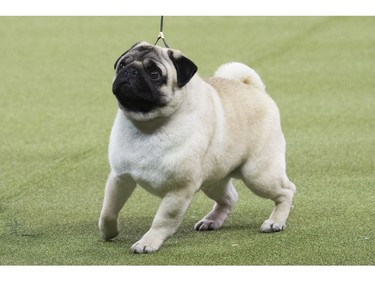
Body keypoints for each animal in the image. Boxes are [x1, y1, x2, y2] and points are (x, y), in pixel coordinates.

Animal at [99, 42, 296, 254]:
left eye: (154, 73)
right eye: (122, 64)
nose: (131, 71)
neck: (148, 126)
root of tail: (253, 89)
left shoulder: (178, 191)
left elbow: (162, 220)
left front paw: (148, 242)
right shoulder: (120, 178)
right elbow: (108, 210)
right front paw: (108, 231)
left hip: (258, 174)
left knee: (286, 190)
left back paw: (275, 221)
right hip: (213, 180)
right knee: (229, 198)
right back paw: (212, 220)